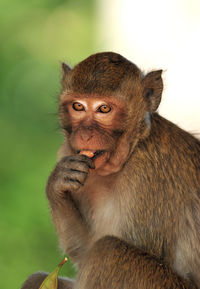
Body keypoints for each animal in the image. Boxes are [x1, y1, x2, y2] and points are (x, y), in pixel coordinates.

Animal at [21, 52, 199, 288]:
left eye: (104, 109)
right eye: (78, 106)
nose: (85, 134)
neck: (131, 150)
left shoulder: (149, 177)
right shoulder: (68, 152)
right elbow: (84, 250)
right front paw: (57, 184)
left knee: (107, 252)